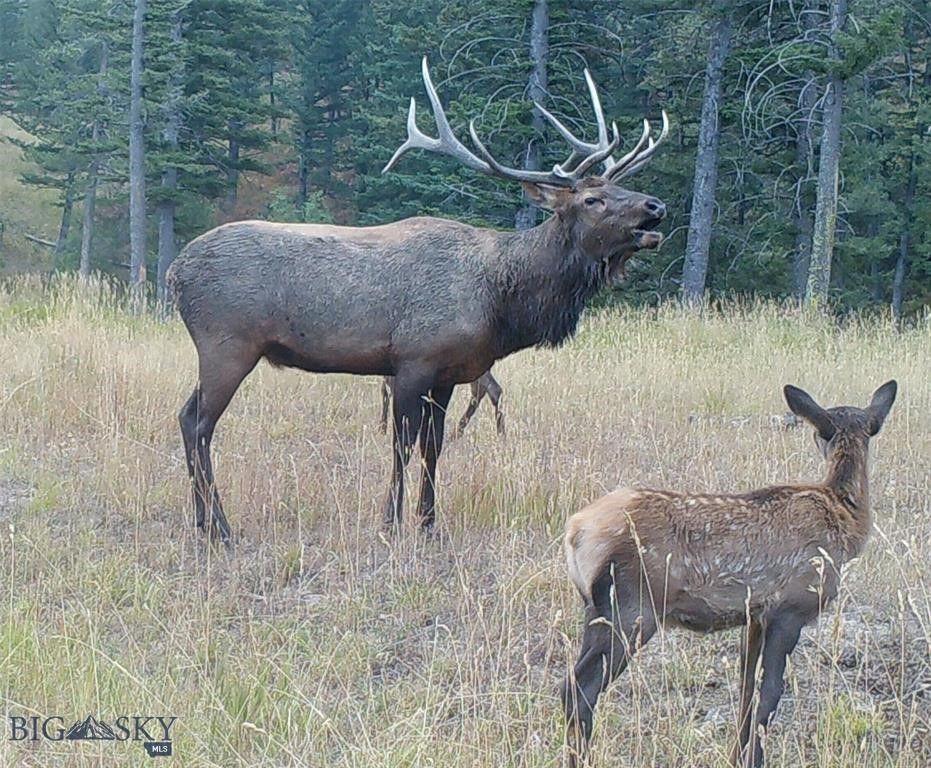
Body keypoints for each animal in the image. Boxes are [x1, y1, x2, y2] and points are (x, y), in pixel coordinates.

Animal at [168, 57, 668, 545]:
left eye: (622, 188)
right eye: (592, 199)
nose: (655, 206)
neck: (501, 300)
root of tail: (175, 271)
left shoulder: (449, 373)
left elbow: (434, 447)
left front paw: (429, 524)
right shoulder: (413, 361)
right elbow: (402, 446)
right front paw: (390, 524)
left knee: (189, 418)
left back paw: (203, 522)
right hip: (227, 344)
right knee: (197, 422)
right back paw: (220, 529)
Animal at [561, 380, 897, 768]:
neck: (843, 519)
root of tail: (575, 531)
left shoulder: (755, 616)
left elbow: (746, 690)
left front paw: (738, 755)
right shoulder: (790, 608)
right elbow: (770, 692)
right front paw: (756, 758)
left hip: (596, 611)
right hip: (632, 609)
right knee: (577, 688)